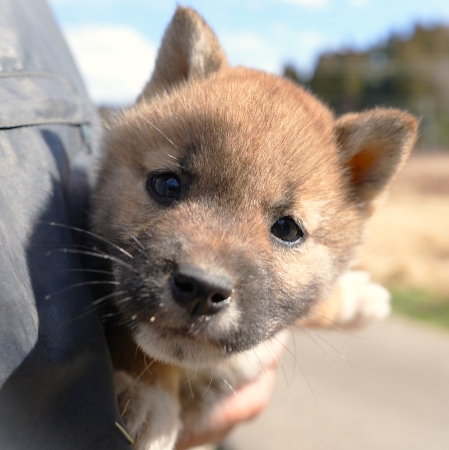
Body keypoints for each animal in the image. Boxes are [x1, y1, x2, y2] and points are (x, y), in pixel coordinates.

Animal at [91, 7, 417, 450]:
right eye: (167, 185)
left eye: (287, 229)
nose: (202, 289)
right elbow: (135, 346)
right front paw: (146, 398)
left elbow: (313, 301)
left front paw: (354, 295)